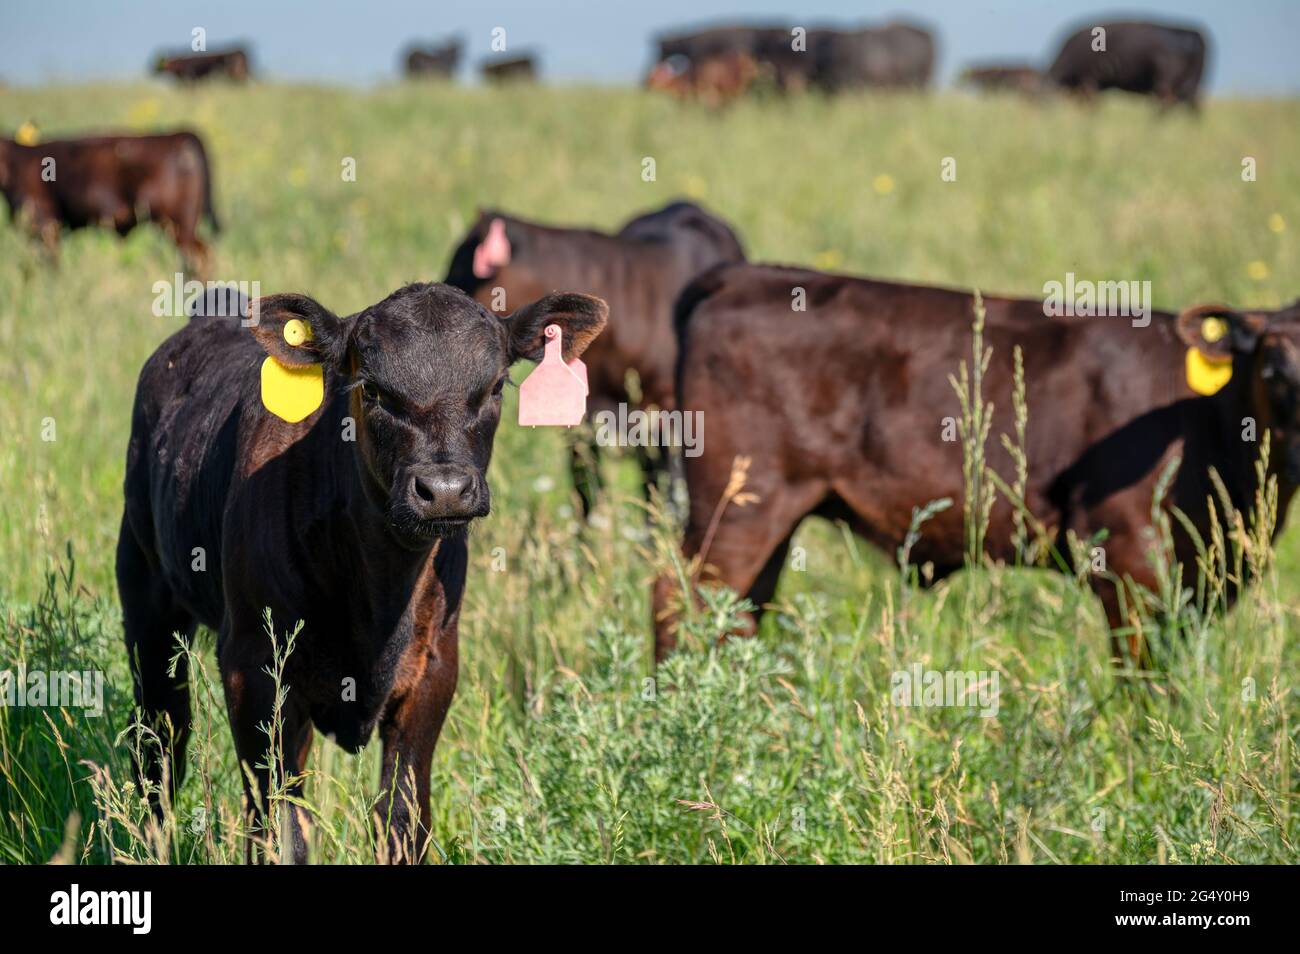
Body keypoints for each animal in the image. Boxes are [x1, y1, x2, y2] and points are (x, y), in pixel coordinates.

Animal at [118, 282, 607, 863]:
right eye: (372, 390)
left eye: (494, 388)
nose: (444, 490)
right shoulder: (252, 666)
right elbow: (279, 826)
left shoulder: (434, 669)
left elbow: (401, 820)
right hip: (146, 595)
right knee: (161, 740)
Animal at [653, 262, 1300, 667]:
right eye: (1274, 370)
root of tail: (749, 273)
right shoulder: (1130, 560)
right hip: (740, 503)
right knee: (678, 595)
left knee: (737, 611)